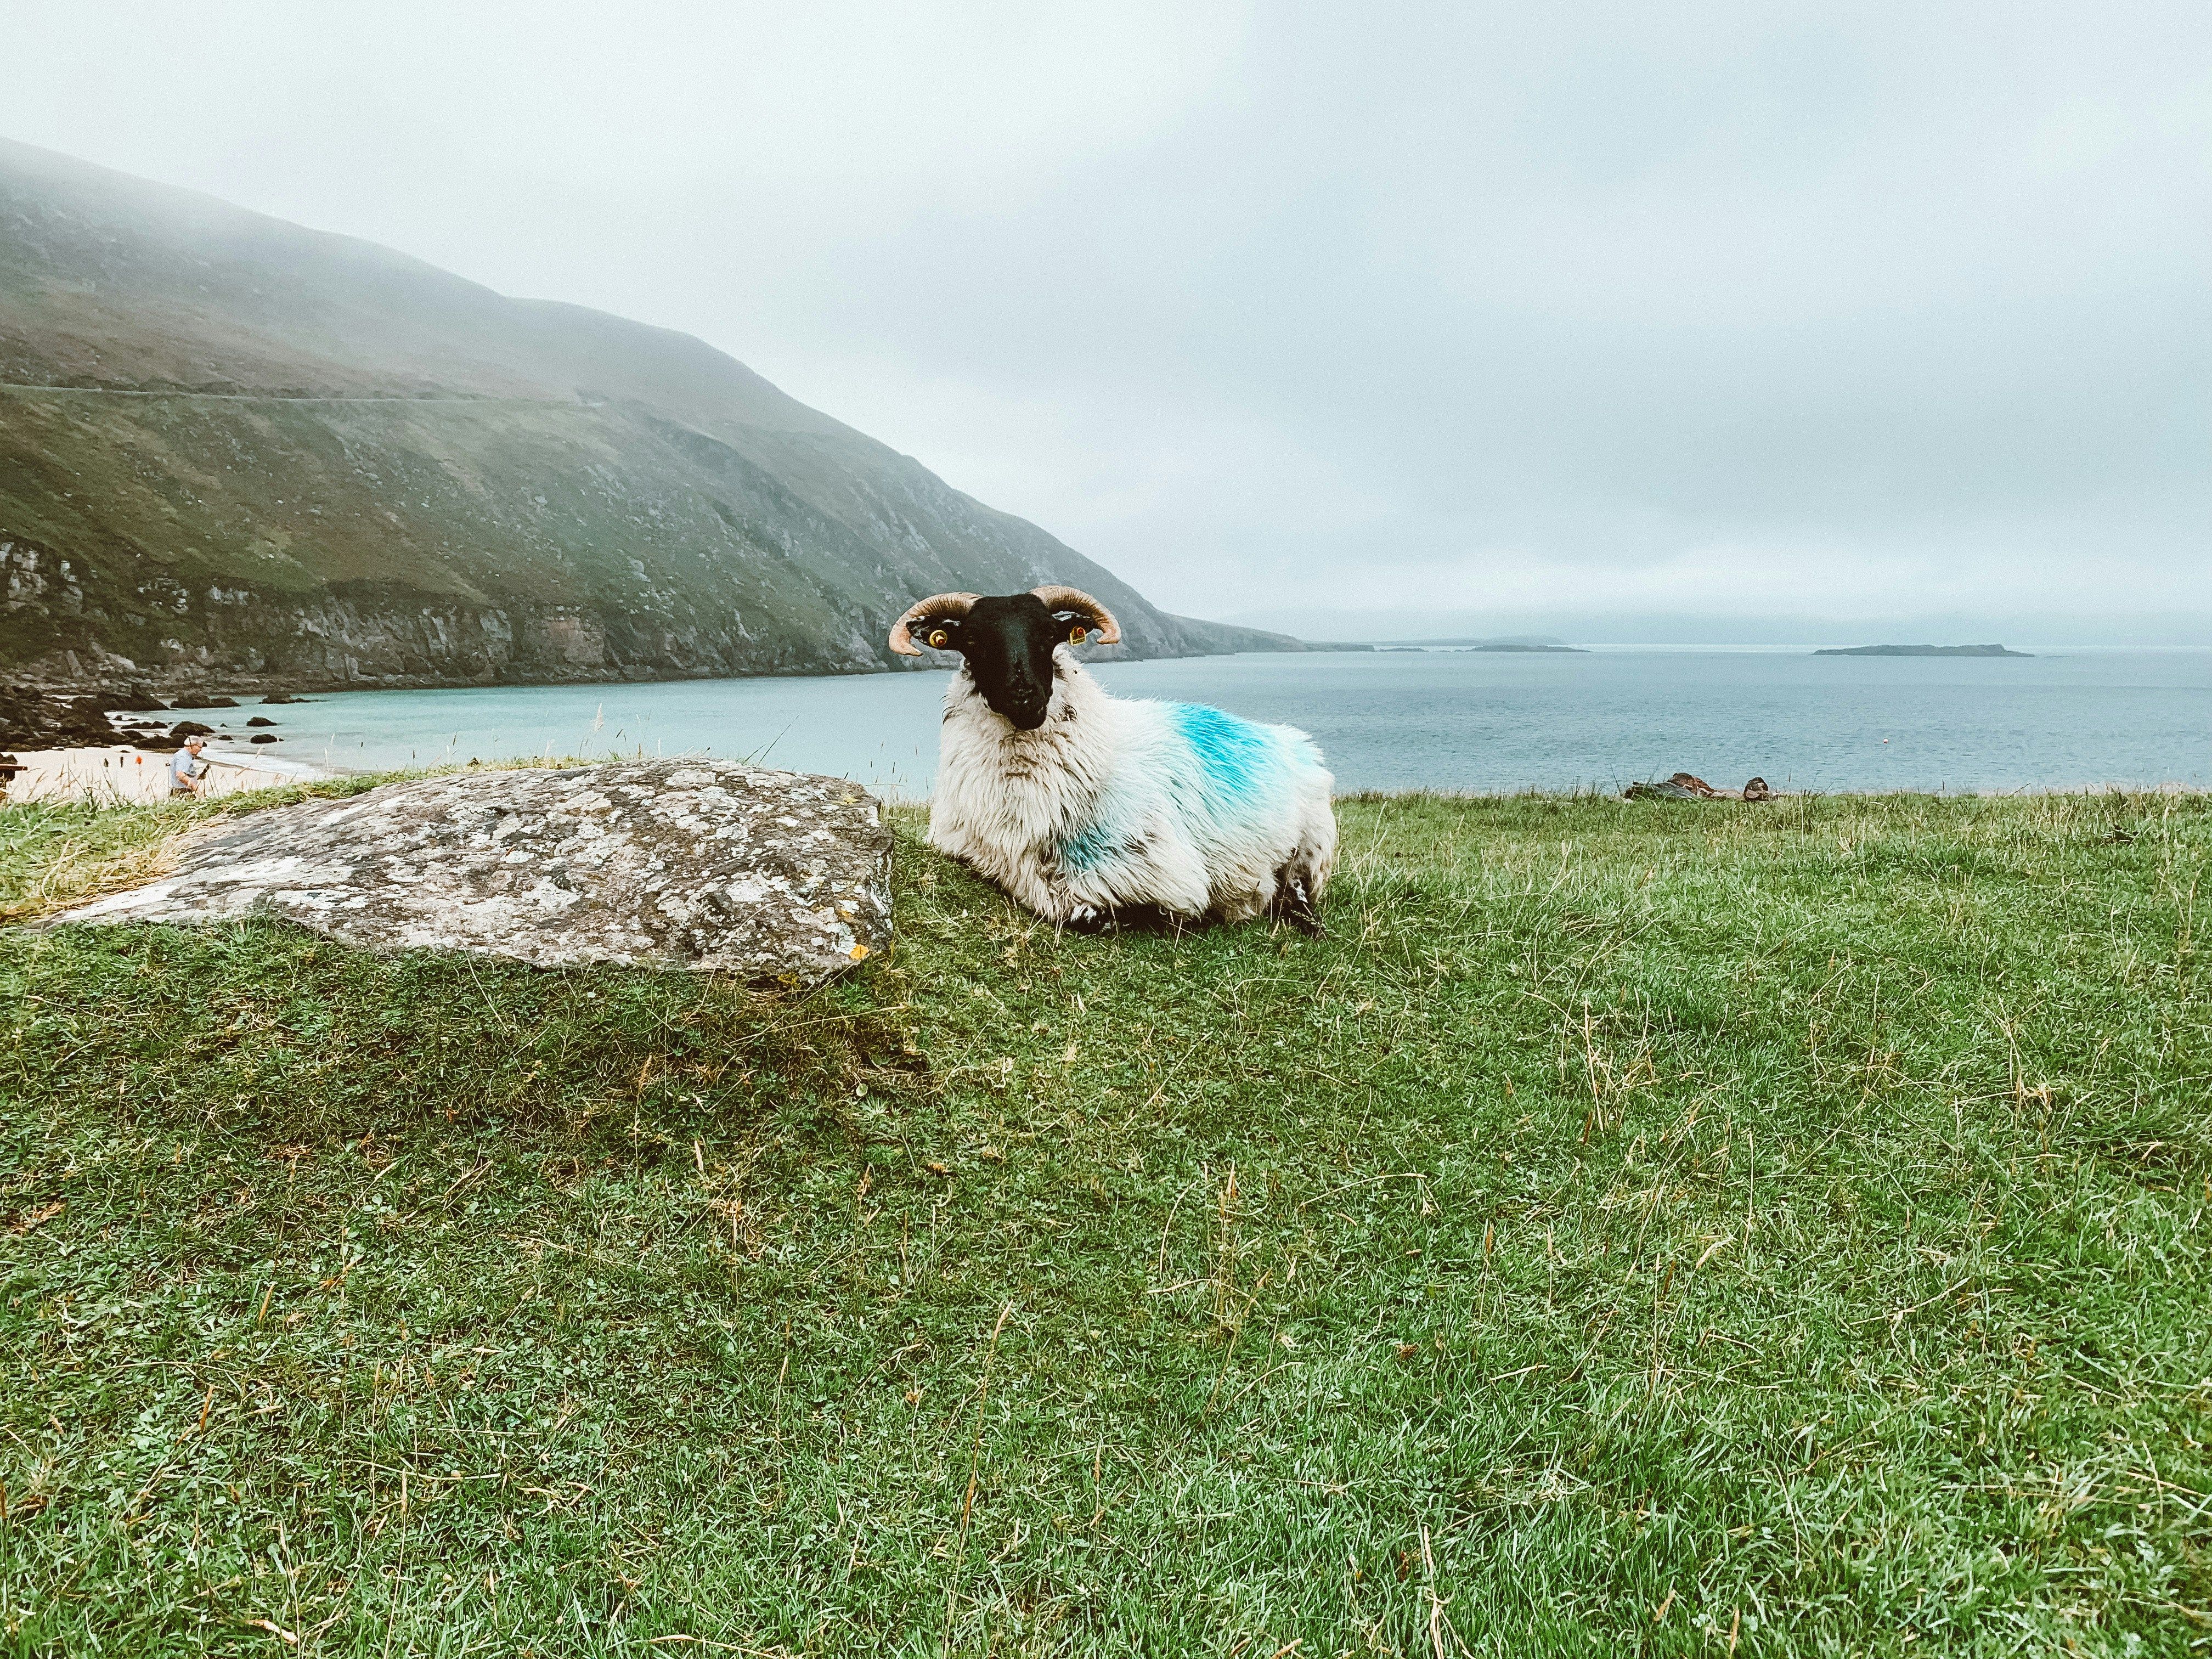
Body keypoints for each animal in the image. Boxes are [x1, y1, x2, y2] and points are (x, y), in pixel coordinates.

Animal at [890, 585, 1336, 930]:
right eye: (973, 641)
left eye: (1049, 634)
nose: (1025, 695)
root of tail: (1289, 738)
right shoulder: (968, 850)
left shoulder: (1169, 875)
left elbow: (1129, 913)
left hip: (1311, 844)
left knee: (1297, 892)